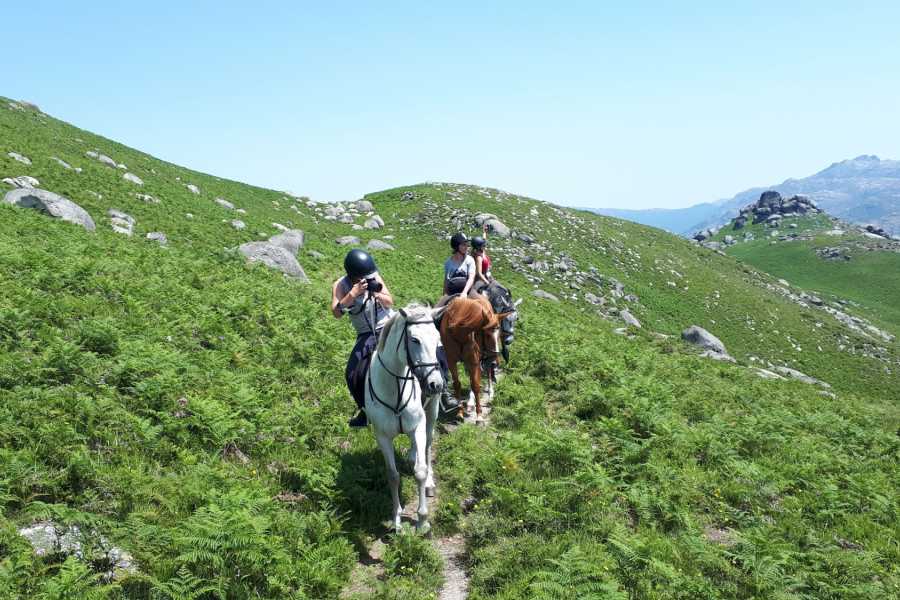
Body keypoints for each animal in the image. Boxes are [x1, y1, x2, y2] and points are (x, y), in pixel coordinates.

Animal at [365, 303, 446, 533]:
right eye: (415, 340)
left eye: (437, 339)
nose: (436, 384)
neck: (395, 388)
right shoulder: (382, 436)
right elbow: (392, 476)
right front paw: (396, 519)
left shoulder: (418, 426)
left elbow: (420, 471)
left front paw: (423, 520)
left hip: (432, 412)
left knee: (427, 445)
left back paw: (429, 482)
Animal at [439, 295, 514, 424]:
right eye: (487, 335)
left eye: (499, 335)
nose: (495, 362)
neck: (459, 333)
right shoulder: (451, 361)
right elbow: (457, 384)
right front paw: (459, 412)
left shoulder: (474, 361)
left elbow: (475, 385)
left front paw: (479, 415)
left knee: (486, 373)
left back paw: (489, 392)